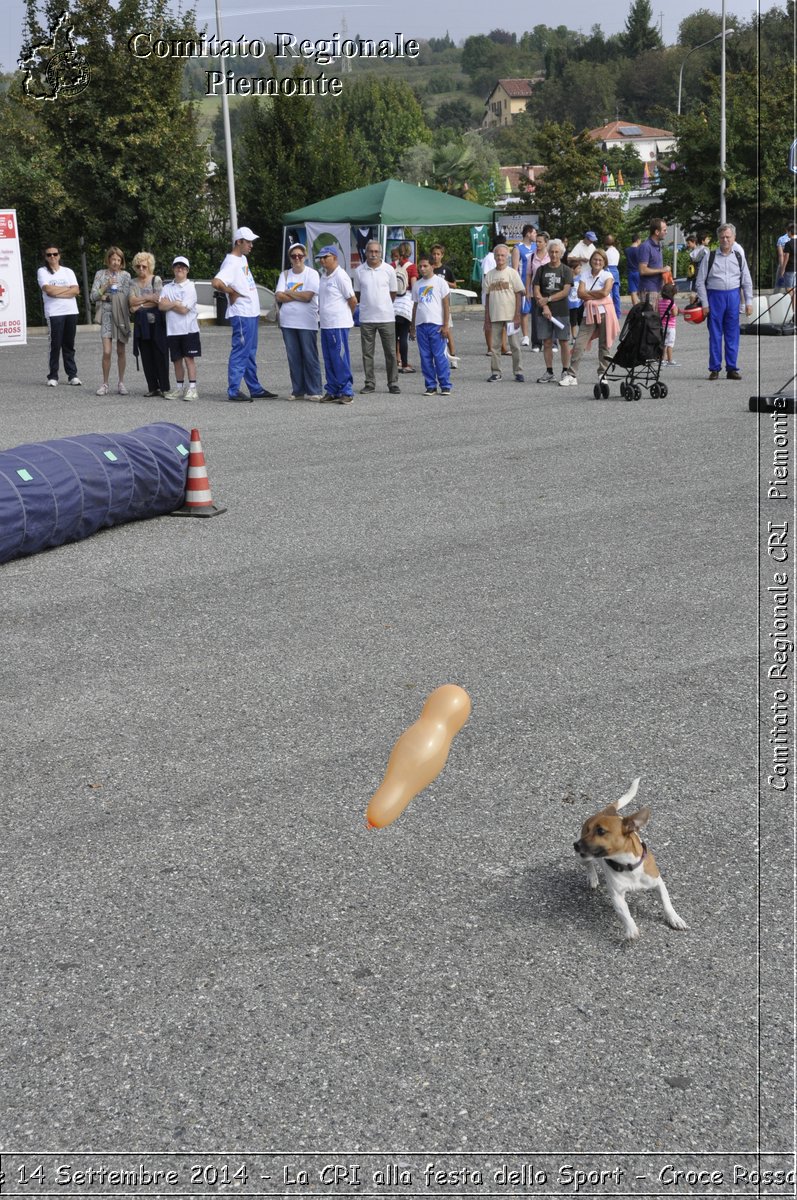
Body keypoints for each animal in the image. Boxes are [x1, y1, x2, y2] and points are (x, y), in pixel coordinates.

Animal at [573, 782, 686, 940]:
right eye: (587, 830)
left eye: (601, 831)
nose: (576, 845)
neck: (628, 865)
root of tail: (605, 810)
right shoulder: (617, 895)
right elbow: (624, 913)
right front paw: (631, 929)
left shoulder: (658, 882)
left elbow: (667, 902)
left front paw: (674, 918)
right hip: (582, 858)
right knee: (589, 865)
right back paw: (593, 878)